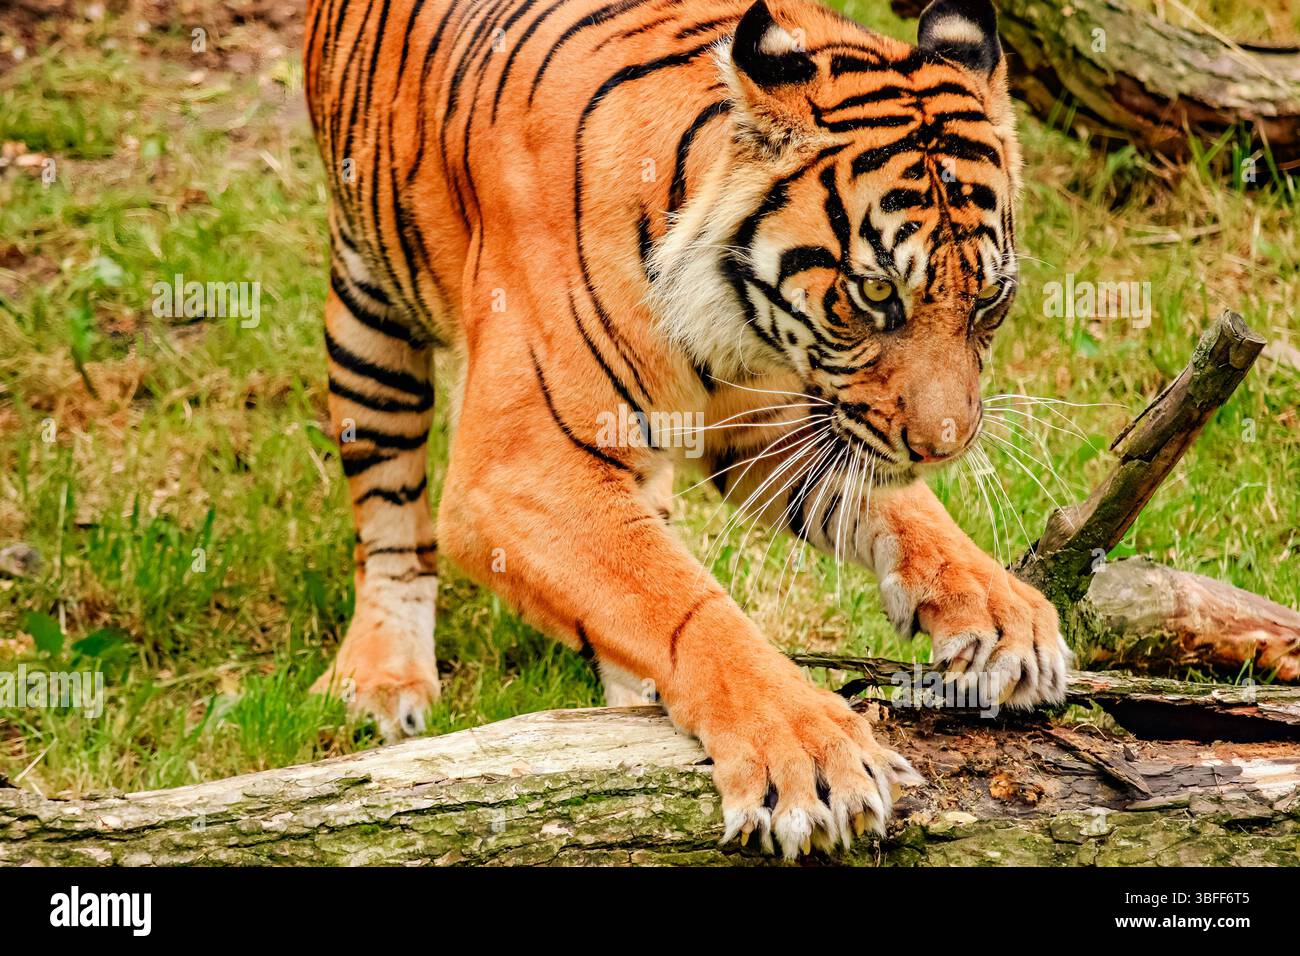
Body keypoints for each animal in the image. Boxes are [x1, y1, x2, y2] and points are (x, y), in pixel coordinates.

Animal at [302, 0, 1071, 859]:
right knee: (388, 511)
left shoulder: (780, 422)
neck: (740, 327)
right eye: (874, 293)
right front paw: (809, 756)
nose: (945, 444)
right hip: (367, 309)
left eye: (990, 299)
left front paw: (1001, 611)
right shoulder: (518, 471)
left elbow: (907, 515)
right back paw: (383, 676)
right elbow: (681, 603)